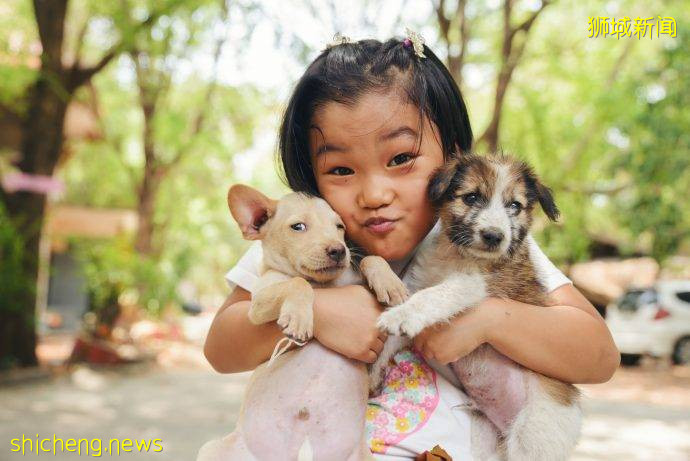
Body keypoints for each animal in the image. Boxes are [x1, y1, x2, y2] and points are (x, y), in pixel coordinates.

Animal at [376, 154, 580, 460]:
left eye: (515, 205)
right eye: (471, 197)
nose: (494, 236)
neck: (456, 256)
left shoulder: (474, 285)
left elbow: (433, 296)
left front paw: (402, 315)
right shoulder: (418, 284)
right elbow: (391, 339)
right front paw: (372, 370)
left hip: (533, 437)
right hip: (484, 439)